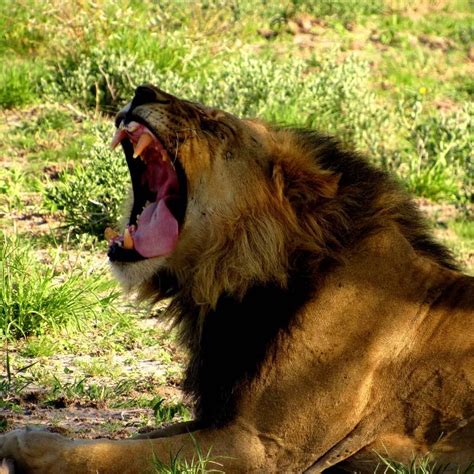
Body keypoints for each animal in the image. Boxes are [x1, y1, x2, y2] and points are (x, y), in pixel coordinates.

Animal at [0, 86, 472, 474]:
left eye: (214, 124)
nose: (143, 90)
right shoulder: (222, 418)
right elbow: (140, 438)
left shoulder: (261, 446)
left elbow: (115, 455)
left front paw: (23, 444)